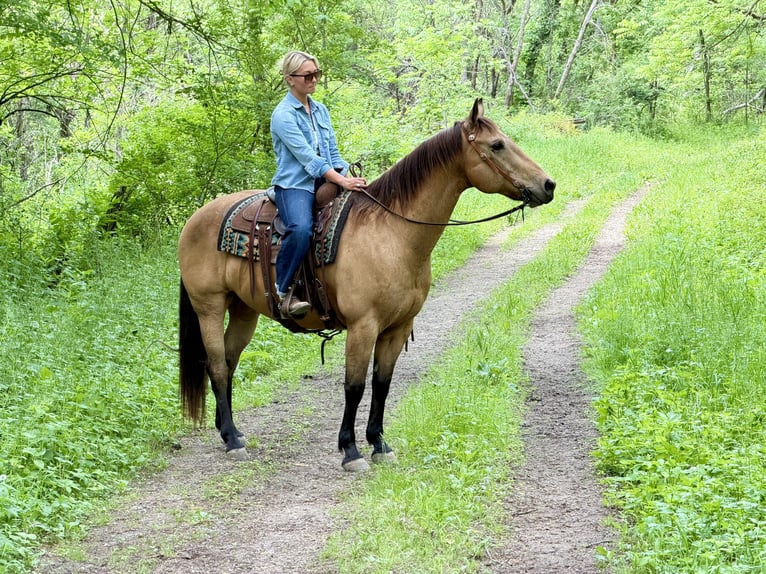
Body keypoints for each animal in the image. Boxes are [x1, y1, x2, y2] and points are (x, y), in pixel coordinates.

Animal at [177, 98, 555, 471]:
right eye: (497, 145)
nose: (549, 185)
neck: (391, 232)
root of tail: (195, 219)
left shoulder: (398, 327)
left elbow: (381, 383)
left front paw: (379, 444)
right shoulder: (363, 326)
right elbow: (354, 386)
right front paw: (351, 450)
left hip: (244, 310)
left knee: (229, 361)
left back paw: (230, 431)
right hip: (209, 306)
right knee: (216, 365)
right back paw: (231, 440)